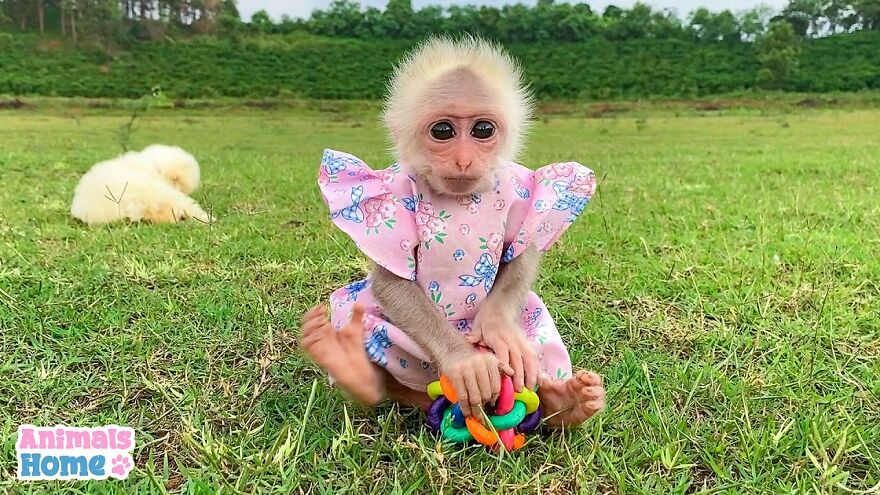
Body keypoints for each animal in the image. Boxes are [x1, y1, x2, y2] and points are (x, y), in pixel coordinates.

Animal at [301, 36, 605, 427]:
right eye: (443, 131)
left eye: (482, 130)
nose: (463, 159)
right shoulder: (390, 195)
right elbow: (392, 281)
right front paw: (465, 361)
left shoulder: (519, 186)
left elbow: (522, 250)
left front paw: (497, 328)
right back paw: (357, 371)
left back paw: (568, 401)